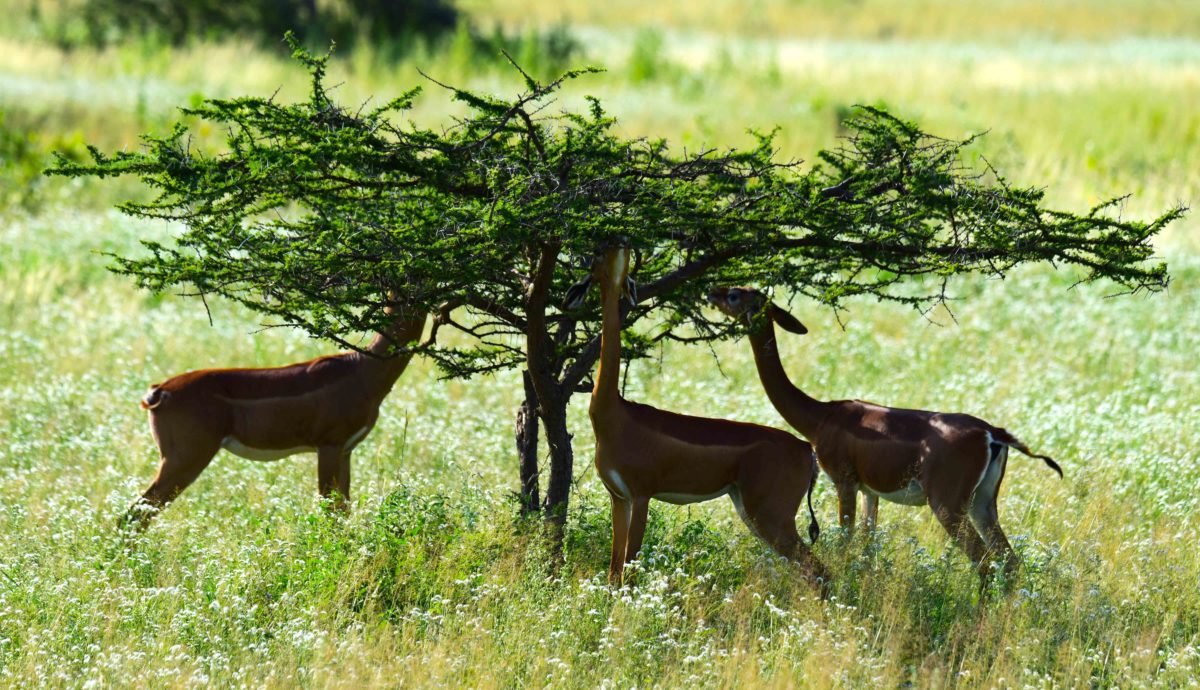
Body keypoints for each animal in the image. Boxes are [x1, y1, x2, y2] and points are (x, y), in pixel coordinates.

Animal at [121, 304, 429, 532]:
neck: (363, 370)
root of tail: (158, 392)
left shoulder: (346, 450)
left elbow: (343, 511)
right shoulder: (329, 446)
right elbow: (329, 512)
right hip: (185, 459)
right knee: (133, 515)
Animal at [564, 248, 830, 588]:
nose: (622, 244)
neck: (612, 413)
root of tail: (806, 450)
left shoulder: (641, 495)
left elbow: (629, 570)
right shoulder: (618, 497)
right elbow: (614, 572)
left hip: (772, 516)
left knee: (819, 572)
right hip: (751, 510)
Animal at [705, 285, 1065, 583]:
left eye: (735, 295)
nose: (711, 291)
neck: (820, 416)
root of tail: (991, 434)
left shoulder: (844, 481)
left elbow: (846, 540)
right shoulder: (870, 491)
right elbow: (867, 546)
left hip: (948, 505)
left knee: (986, 563)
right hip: (983, 502)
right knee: (1010, 563)